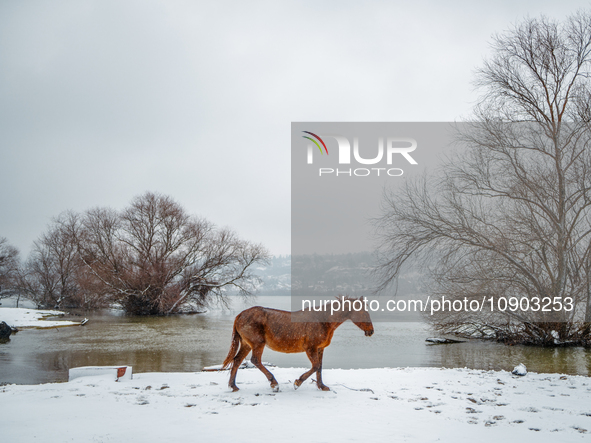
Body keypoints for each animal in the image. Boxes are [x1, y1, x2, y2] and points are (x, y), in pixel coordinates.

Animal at [222, 298, 374, 392]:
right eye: (363, 312)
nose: (371, 331)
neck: (323, 321)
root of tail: (240, 315)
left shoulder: (320, 349)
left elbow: (319, 367)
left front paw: (322, 386)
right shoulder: (310, 348)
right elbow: (315, 366)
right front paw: (297, 382)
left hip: (246, 344)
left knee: (237, 361)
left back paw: (233, 386)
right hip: (257, 344)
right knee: (255, 361)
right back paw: (274, 383)